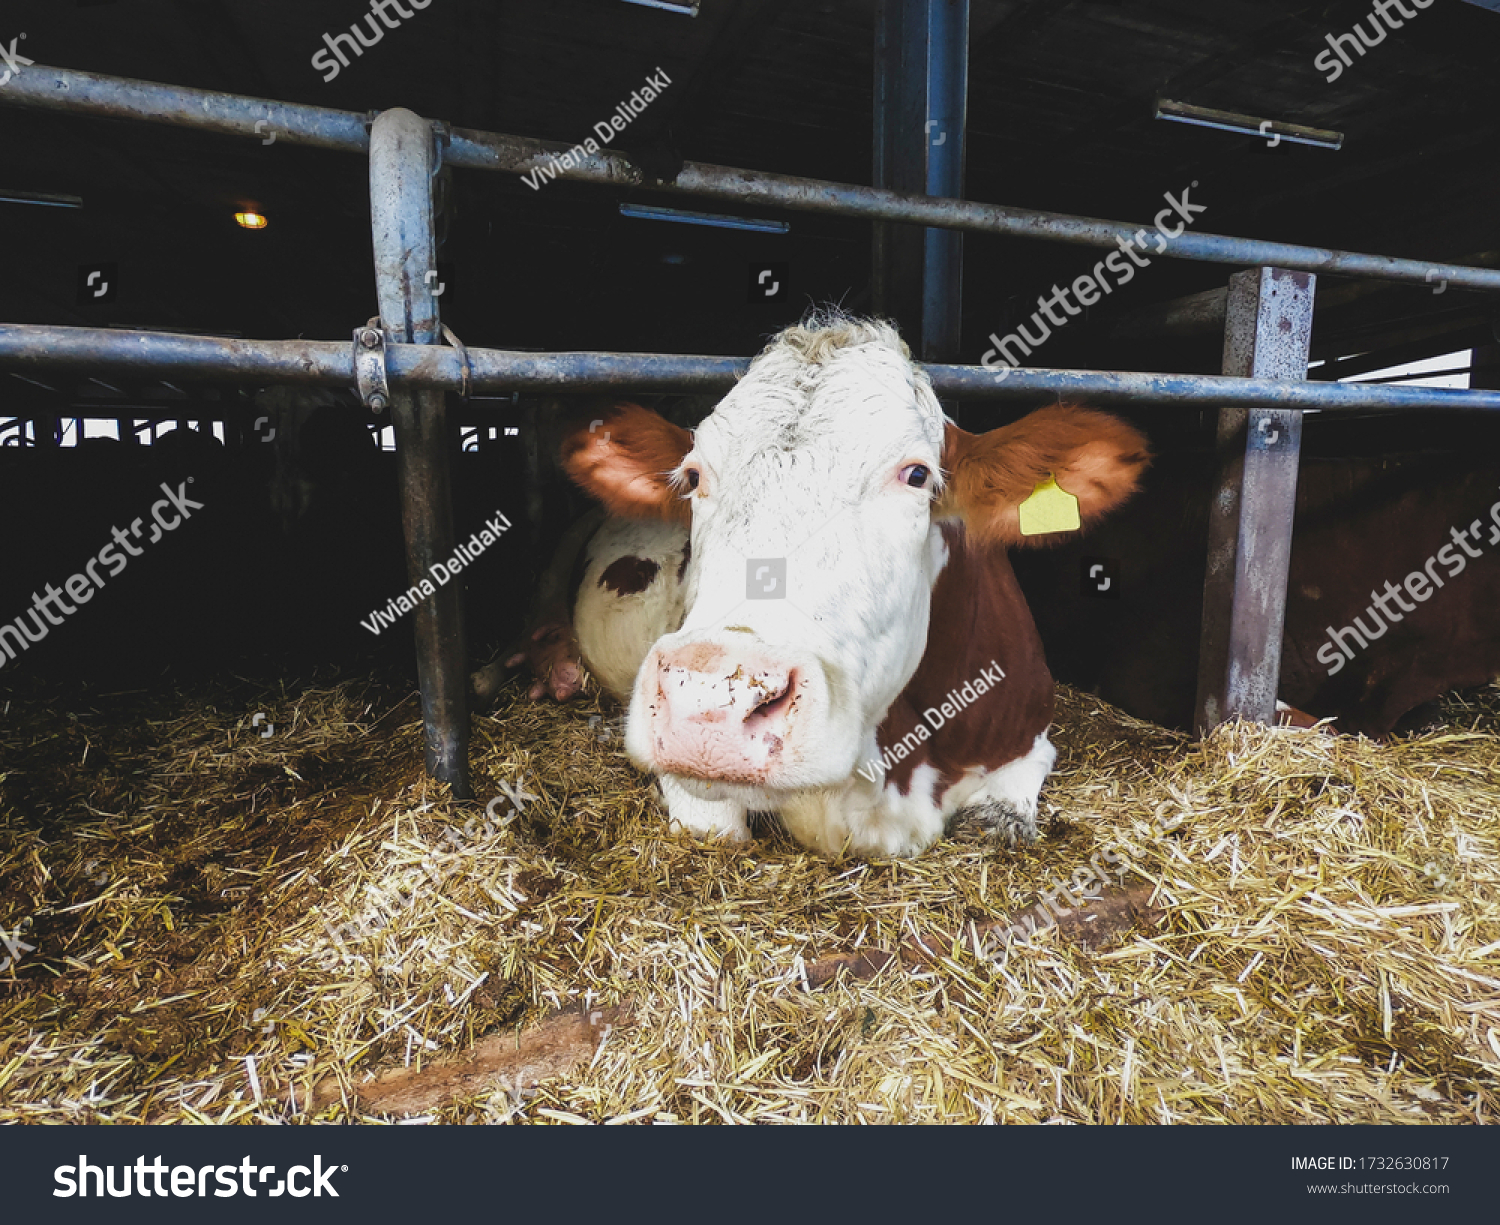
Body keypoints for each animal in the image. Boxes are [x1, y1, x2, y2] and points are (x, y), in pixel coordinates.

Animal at [522, 314, 1140, 857]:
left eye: (916, 474)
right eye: (694, 476)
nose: (709, 702)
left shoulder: (1031, 732)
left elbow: (1002, 817)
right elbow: (716, 828)